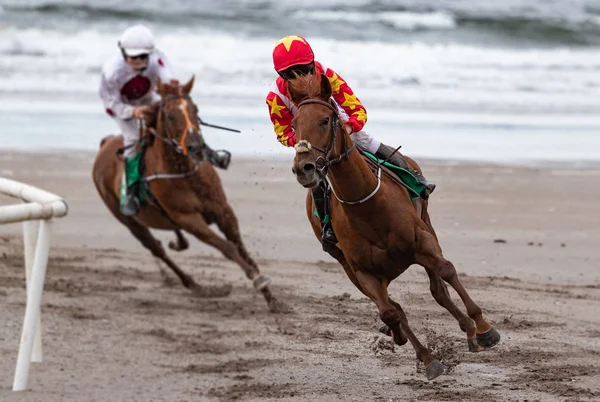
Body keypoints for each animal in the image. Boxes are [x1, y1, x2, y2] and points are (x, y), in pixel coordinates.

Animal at [92, 77, 284, 310]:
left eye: (195, 109)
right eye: (169, 115)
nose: (195, 147)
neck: (184, 173)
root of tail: (106, 143)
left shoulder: (222, 210)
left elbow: (241, 248)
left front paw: (272, 298)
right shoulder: (188, 218)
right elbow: (228, 247)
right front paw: (257, 279)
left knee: (172, 241)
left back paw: (179, 247)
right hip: (129, 221)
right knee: (156, 249)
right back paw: (194, 284)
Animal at [288, 74, 500, 380]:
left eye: (326, 120)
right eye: (294, 125)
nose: (304, 168)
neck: (367, 206)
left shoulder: (422, 241)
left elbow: (446, 271)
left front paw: (484, 329)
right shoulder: (362, 271)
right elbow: (389, 311)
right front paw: (427, 358)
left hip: (427, 224)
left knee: (438, 288)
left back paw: (470, 331)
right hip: (346, 264)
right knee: (394, 307)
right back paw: (399, 334)